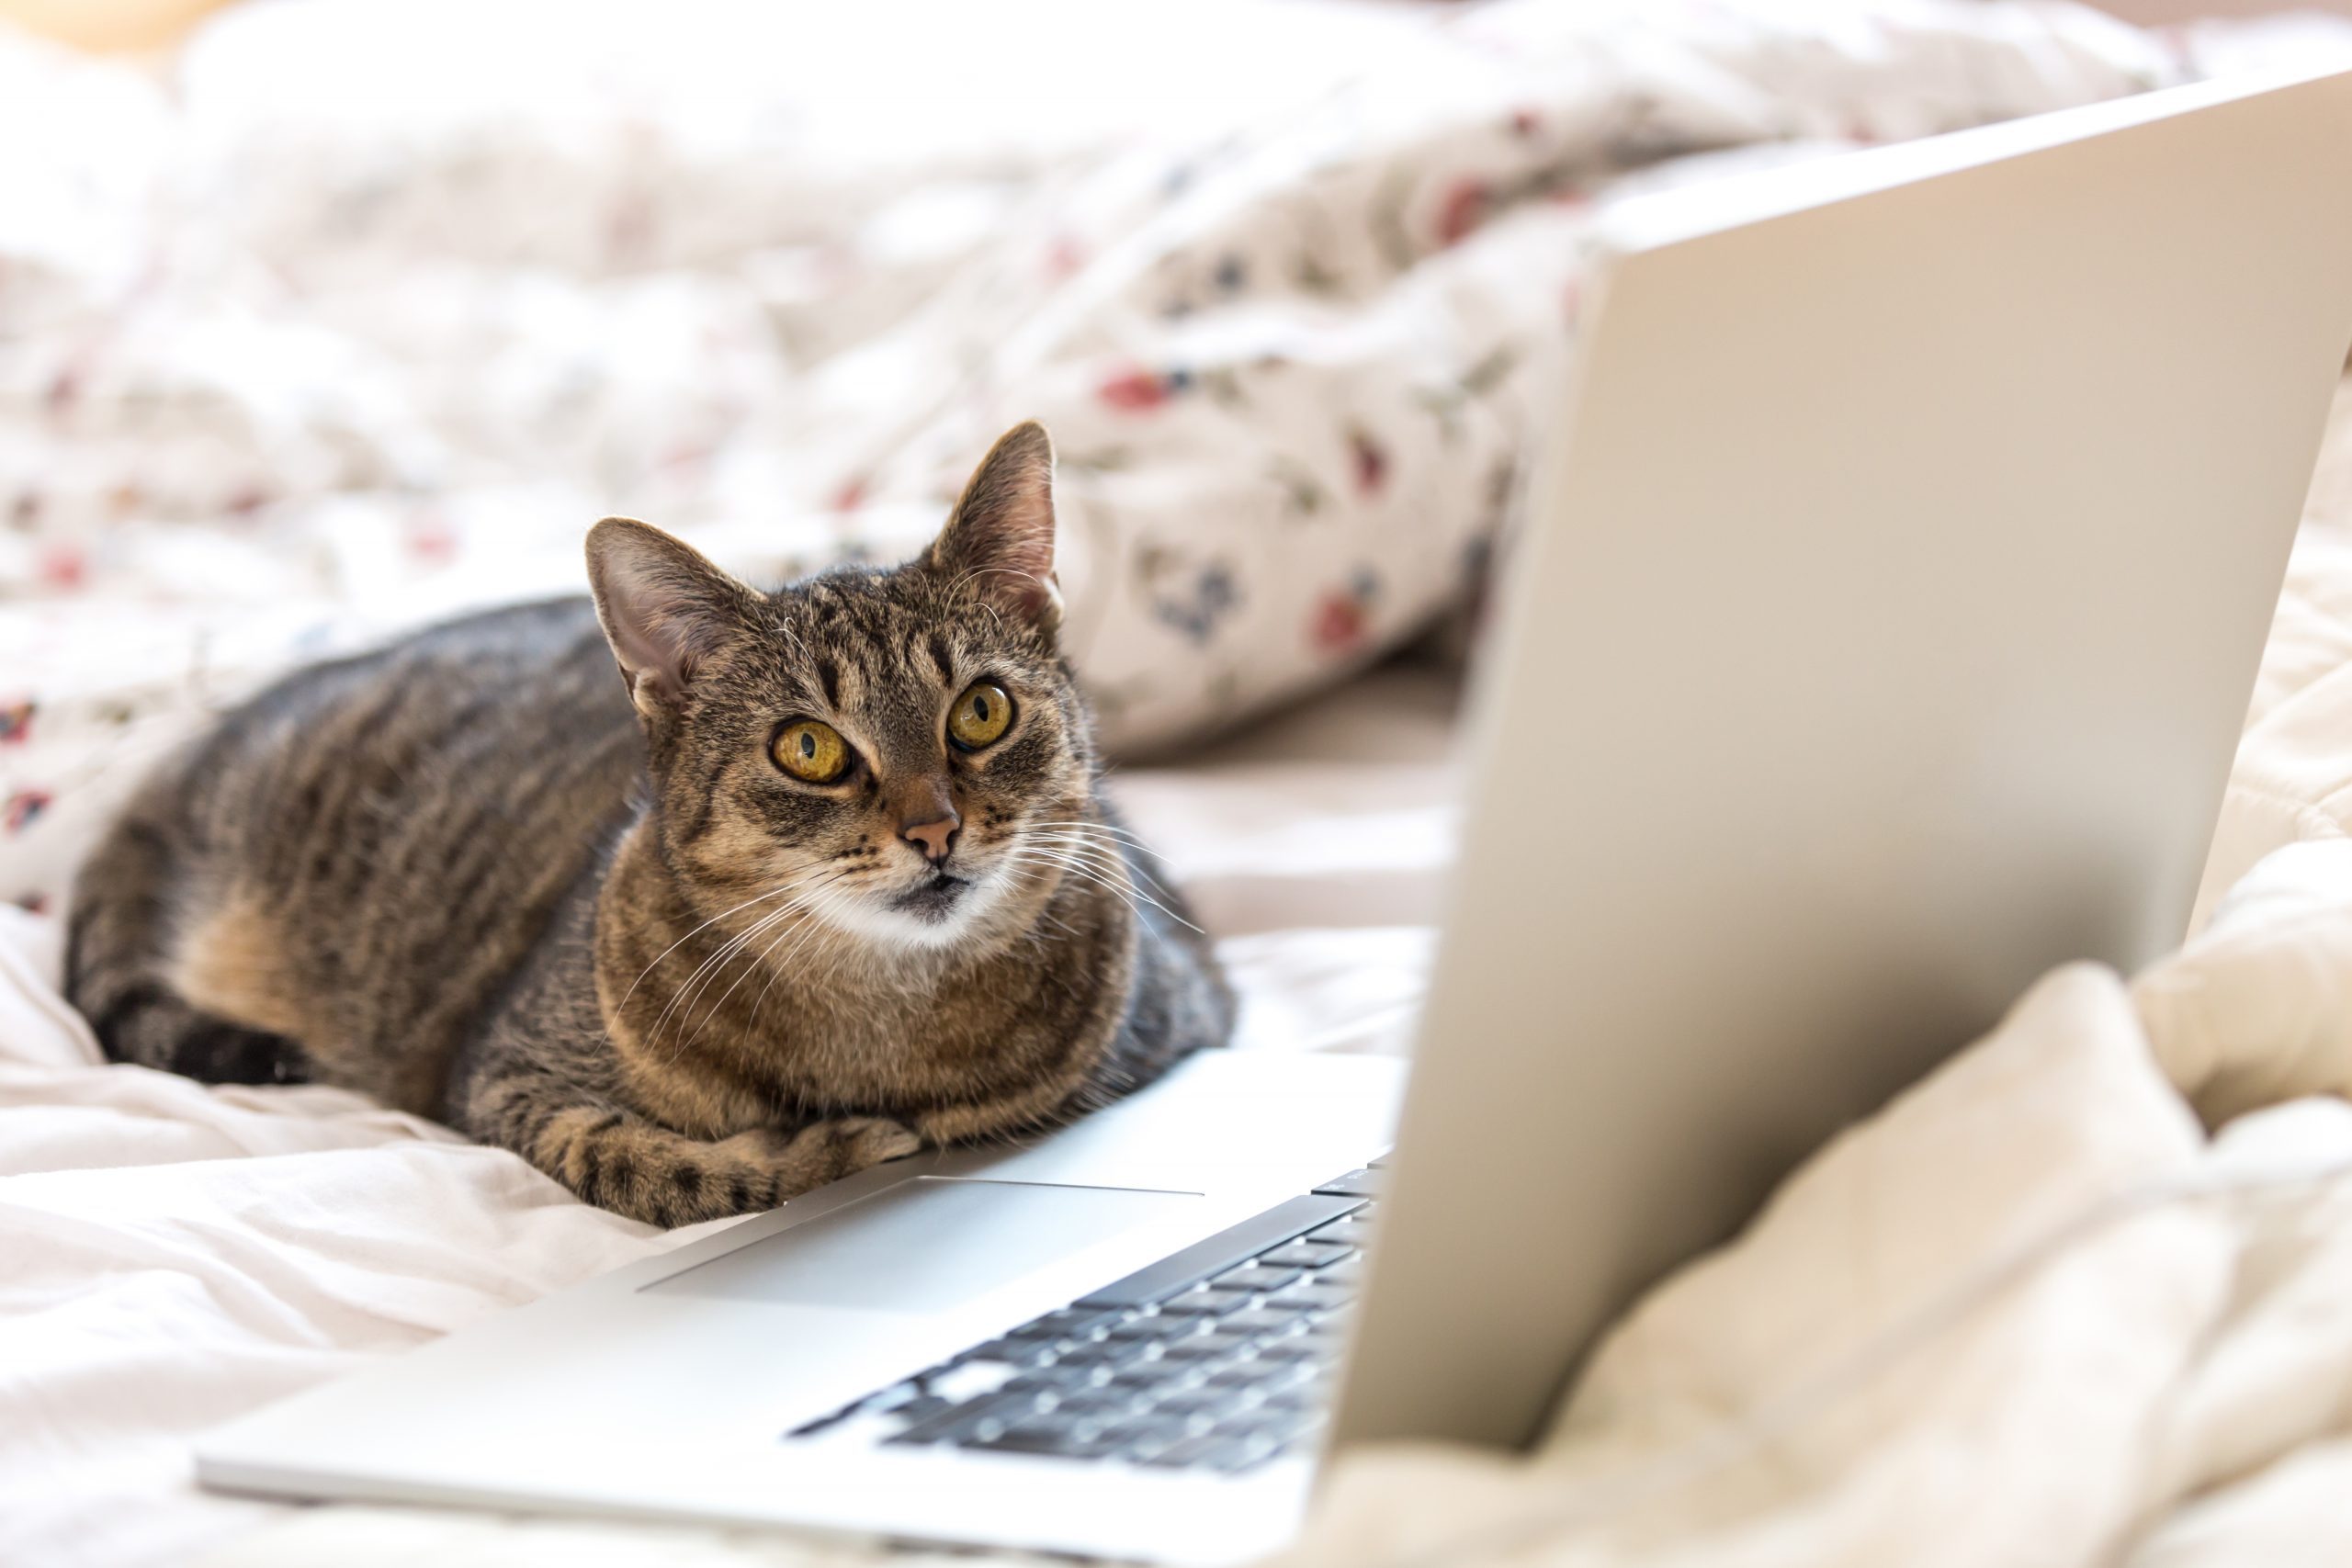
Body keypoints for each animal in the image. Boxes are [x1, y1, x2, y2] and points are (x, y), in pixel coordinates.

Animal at [59, 425, 1232, 1222]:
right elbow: (646, 1162)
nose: (935, 829)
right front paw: (831, 1152)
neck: (880, 1024)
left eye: (980, 712)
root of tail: (173, 764)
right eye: (808, 749)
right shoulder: (506, 1078)